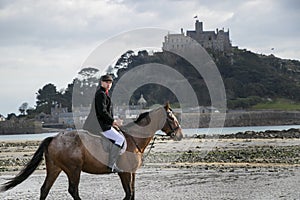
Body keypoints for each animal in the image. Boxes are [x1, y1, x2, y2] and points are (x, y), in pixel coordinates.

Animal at [0, 104, 183, 199]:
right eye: (172, 117)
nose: (180, 135)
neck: (133, 139)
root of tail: (54, 137)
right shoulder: (124, 172)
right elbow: (128, 193)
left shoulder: (131, 172)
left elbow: (132, 193)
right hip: (74, 169)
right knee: (73, 190)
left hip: (54, 168)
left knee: (45, 189)